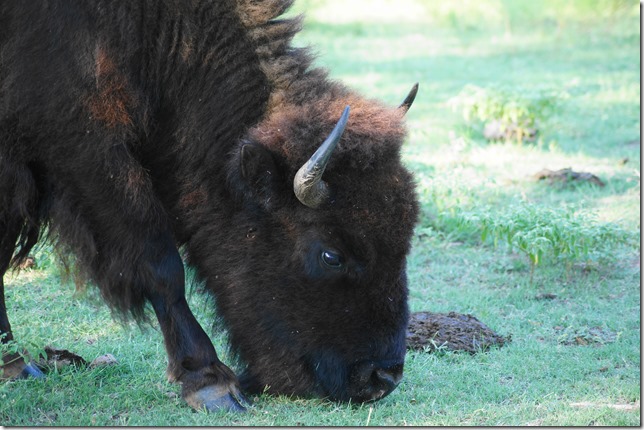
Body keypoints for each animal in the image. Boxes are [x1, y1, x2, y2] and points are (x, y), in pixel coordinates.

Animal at [0, 0, 420, 412]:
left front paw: (15, 366)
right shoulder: (81, 142)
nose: (381, 379)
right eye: (331, 255)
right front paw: (211, 382)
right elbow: (161, 263)